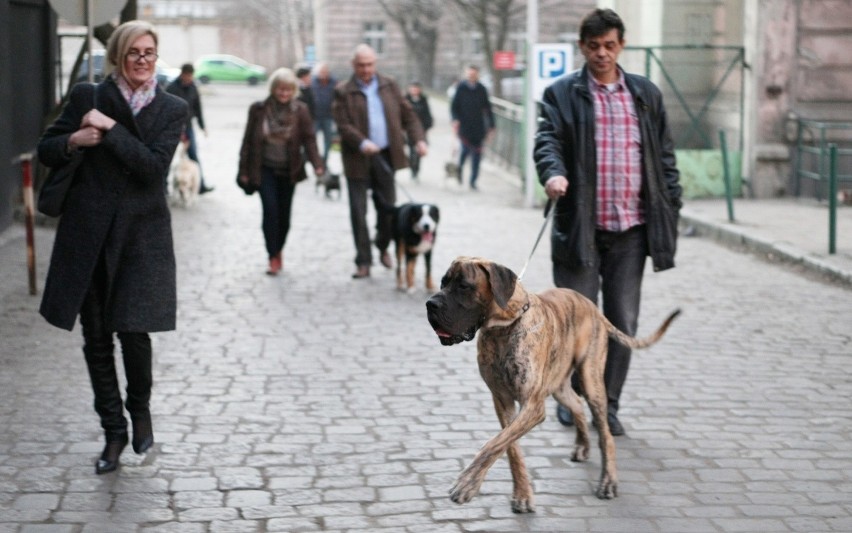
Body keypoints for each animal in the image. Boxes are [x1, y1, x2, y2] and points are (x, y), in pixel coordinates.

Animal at [426, 256, 680, 512]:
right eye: (443, 282)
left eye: (464, 286)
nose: (430, 304)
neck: (504, 328)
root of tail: (593, 308)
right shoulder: (502, 401)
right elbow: (509, 447)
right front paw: (522, 493)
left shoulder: (533, 406)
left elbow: (493, 444)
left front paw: (467, 484)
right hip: (558, 385)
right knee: (577, 404)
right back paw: (582, 446)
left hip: (591, 380)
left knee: (605, 433)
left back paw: (608, 481)